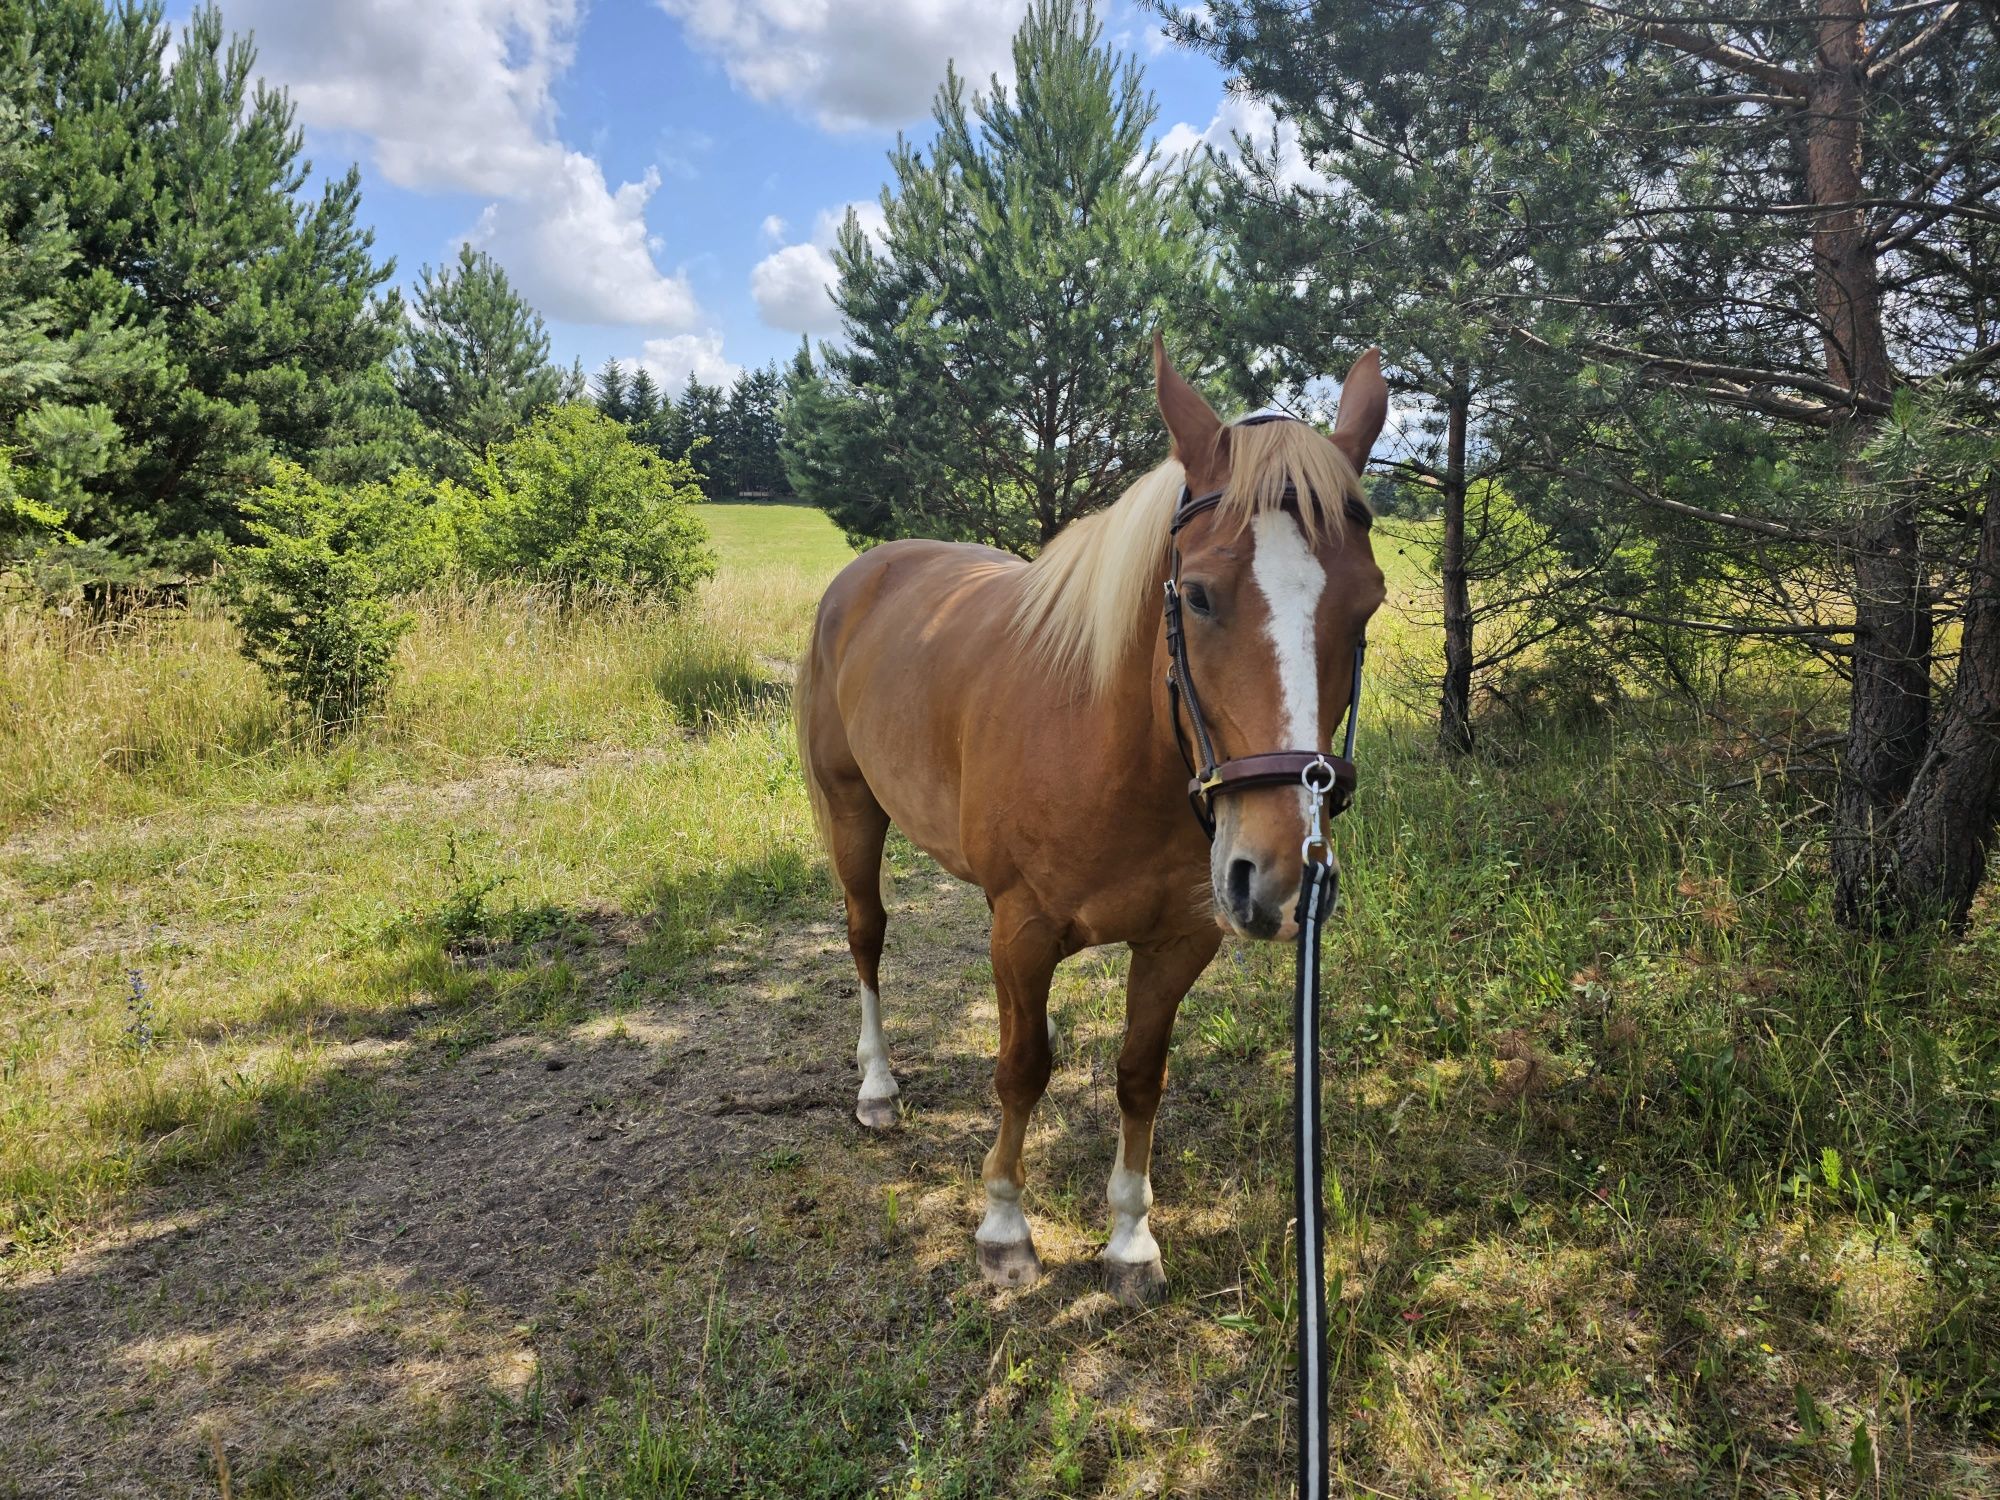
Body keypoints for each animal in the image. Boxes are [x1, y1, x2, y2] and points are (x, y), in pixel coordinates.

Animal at [796, 338, 1392, 1304]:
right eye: (1197, 596)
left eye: (1367, 602)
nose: (1279, 874)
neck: (1114, 748)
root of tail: (868, 570)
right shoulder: (1024, 931)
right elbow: (1022, 1070)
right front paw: (1004, 1228)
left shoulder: (1180, 941)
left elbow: (1139, 1076)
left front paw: (1130, 1240)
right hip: (852, 810)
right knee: (866, 934)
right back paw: (877, 1086)